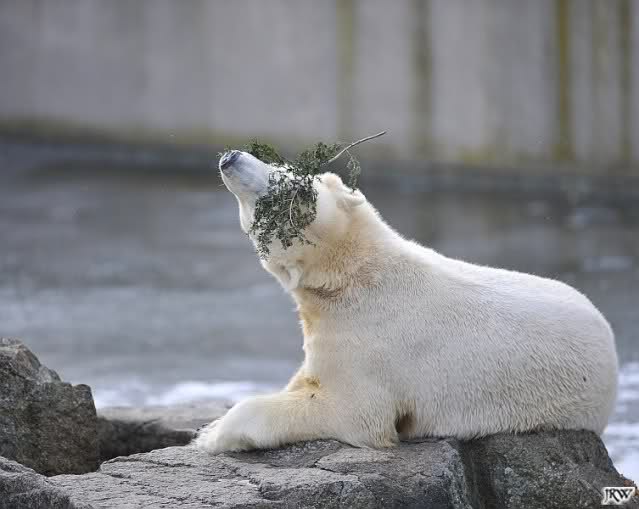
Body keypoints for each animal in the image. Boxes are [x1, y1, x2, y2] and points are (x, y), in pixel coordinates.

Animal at [194, 150, 619, 454]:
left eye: (288, 184)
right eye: (282, 167)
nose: (232, 156)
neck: (354, 275)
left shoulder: (371, 342)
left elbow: (354, 413)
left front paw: (212, 436)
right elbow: (304, 378)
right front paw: (210, 426)